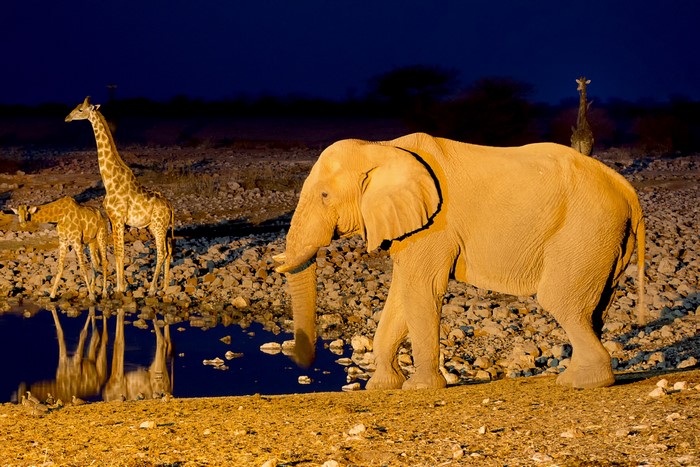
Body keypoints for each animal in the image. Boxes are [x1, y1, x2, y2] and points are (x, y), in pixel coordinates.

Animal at [65, 97, 174, 296]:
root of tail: (171, 206)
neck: (109, 181)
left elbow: (119, 252)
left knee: (161, 252)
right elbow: (115, 252)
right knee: (169, 250)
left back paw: (152, 289)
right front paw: (117, 286)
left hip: (159, 226)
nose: (67, 117)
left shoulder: (118, 218)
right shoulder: (112, 219)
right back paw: (164, 286)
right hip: (157, 227)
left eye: (81, 109)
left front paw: (119, 288)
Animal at [274, 132, 645, 390]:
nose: (299, 360)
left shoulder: (435, 226)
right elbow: (401, 294)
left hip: (585, 229)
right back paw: (578, 376)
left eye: (325, 196)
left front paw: (419, 388)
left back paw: (579, 383)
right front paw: (381, 387)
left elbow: (421, 290)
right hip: (605, 240)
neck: (383, 147)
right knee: (595, 309)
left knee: (560, 300)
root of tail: (627, 189)